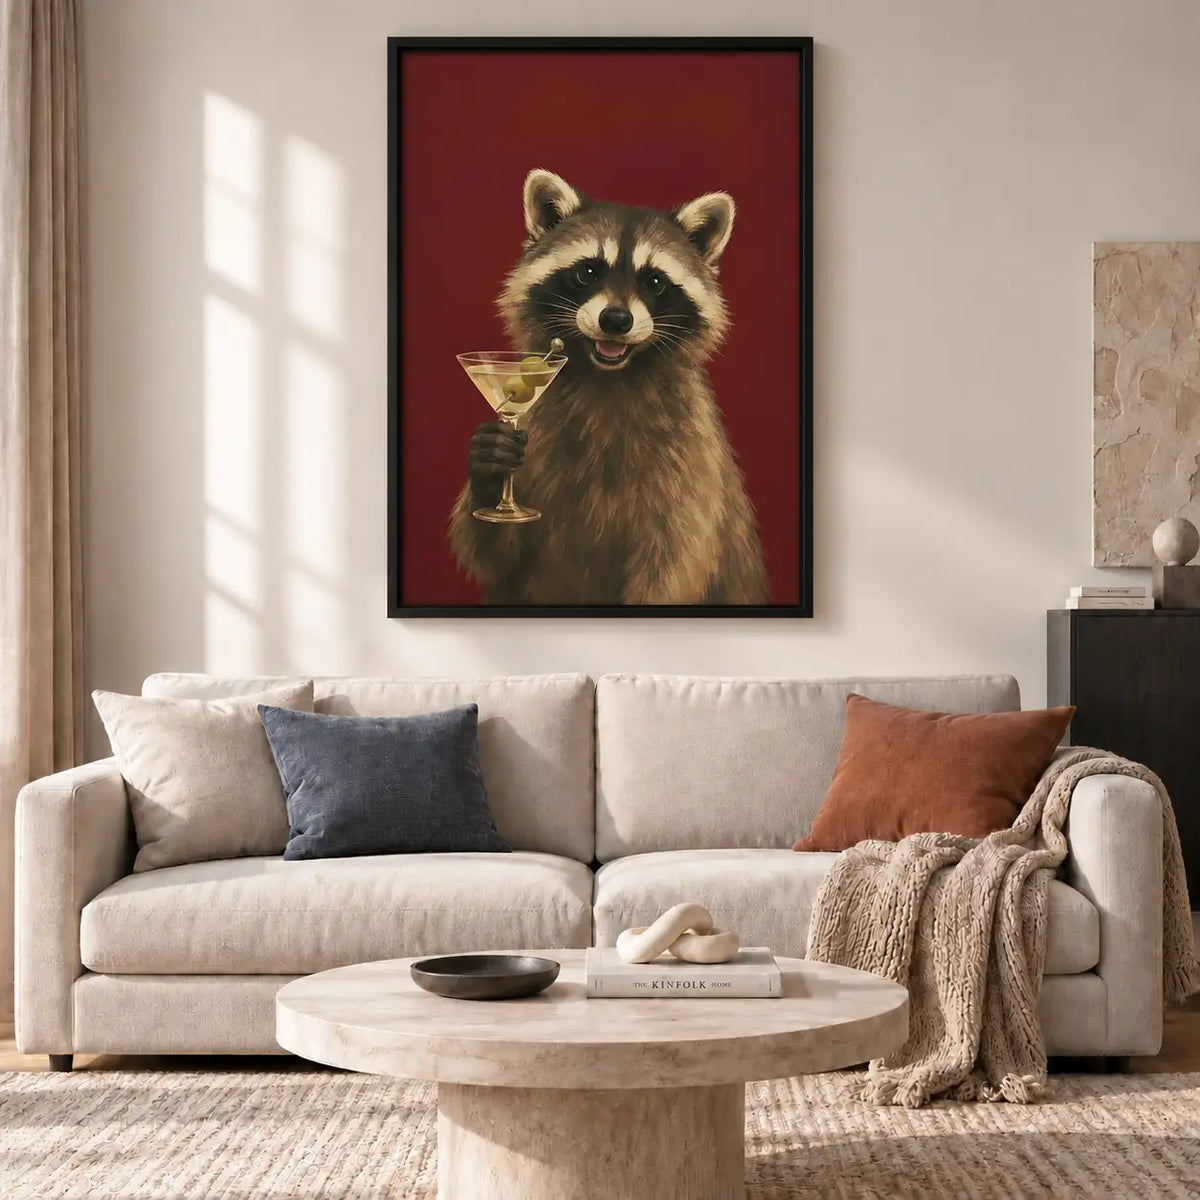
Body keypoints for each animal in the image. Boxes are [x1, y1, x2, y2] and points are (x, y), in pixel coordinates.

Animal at [448, 168, 768, 606]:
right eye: (587, 272)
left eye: (654, 281)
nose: (616, 320)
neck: (608, 376)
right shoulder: (537, 438)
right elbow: (491, 554)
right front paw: (489, 470)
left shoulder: (691, 464)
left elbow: (675, 562)